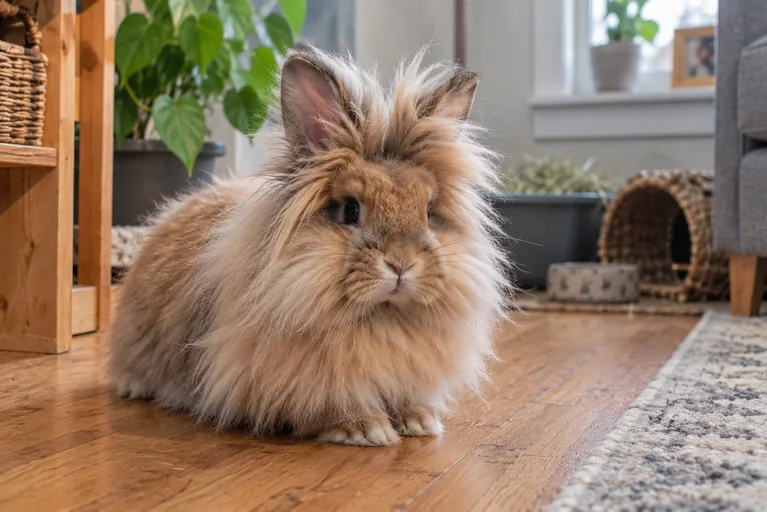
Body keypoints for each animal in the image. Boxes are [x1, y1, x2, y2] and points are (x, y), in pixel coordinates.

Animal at [108, 46, 509, 446]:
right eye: (350, 209)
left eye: (428, 211)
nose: (401, 264)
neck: (382, 319)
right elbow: (326, 405)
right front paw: (366, 429)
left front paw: (420, 421)